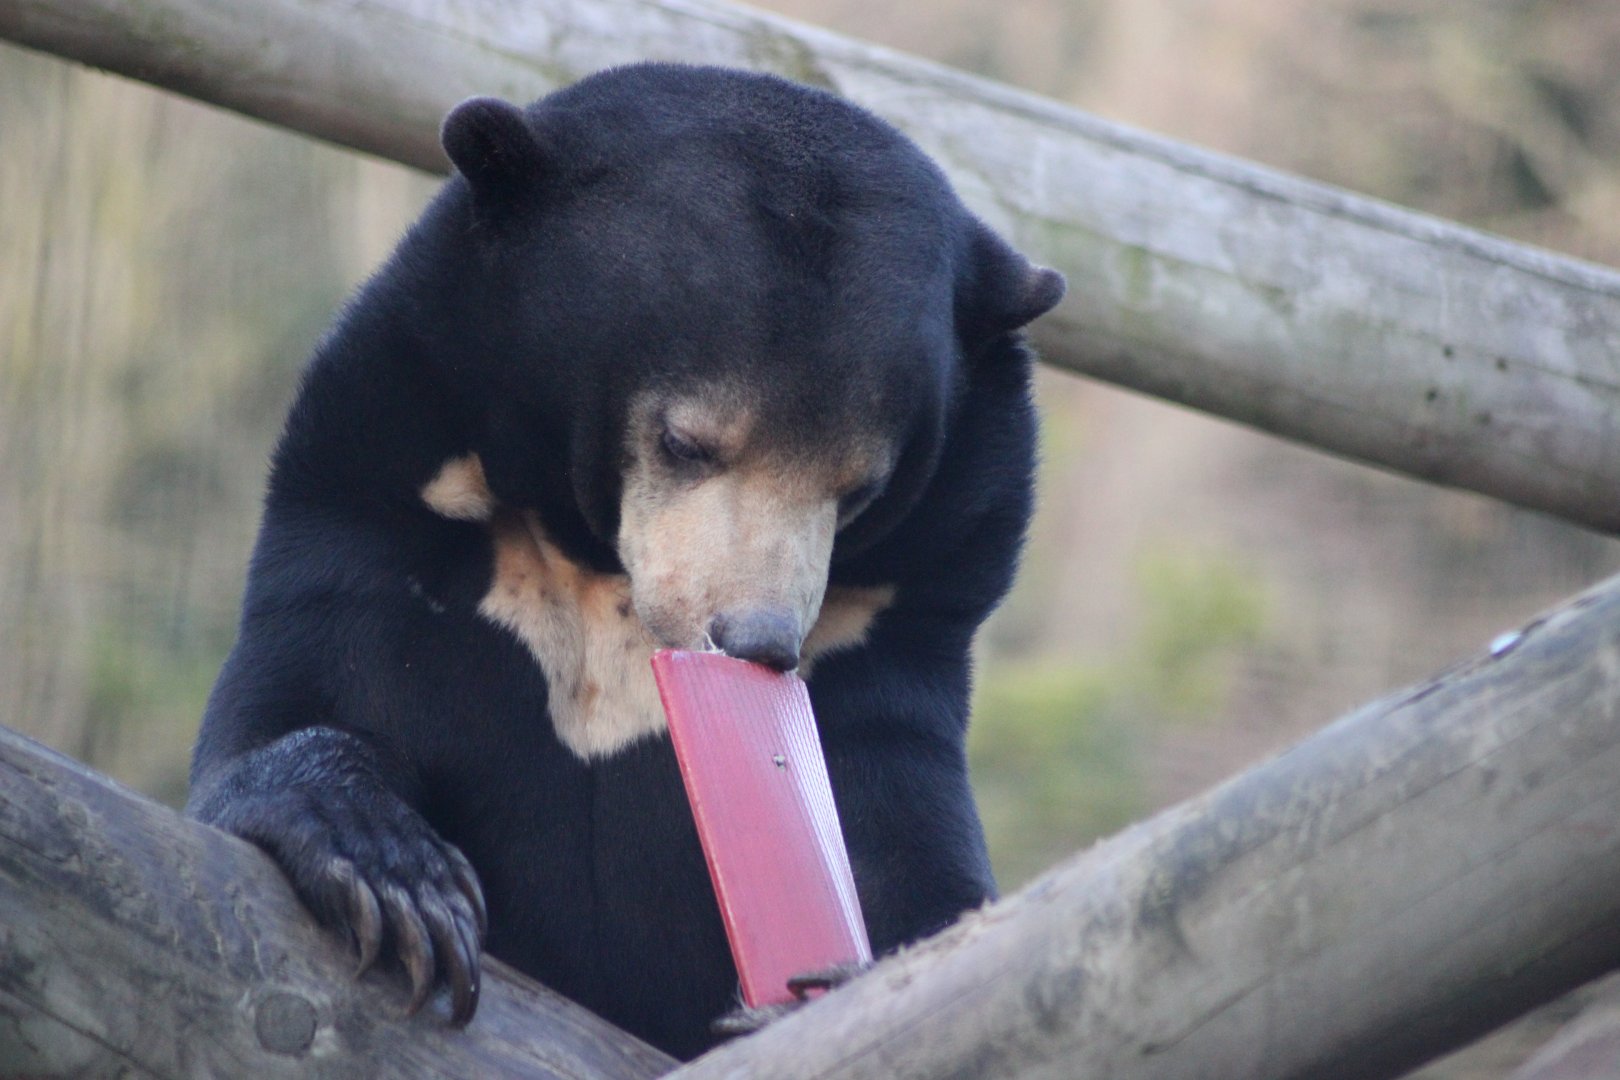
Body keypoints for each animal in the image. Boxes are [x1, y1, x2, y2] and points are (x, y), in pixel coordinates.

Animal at [186, 62, 1064, 1061]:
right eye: (685, 442)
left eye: (862, 488)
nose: (756, 642)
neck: (603, 582)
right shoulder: (383, 490)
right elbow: (311, 702)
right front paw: (398, 881)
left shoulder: (894, 619)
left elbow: (901, 842)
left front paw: (823, 980)